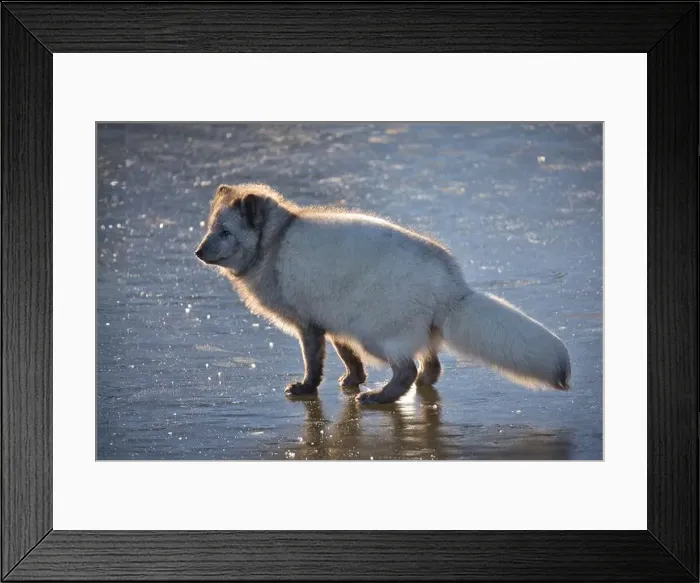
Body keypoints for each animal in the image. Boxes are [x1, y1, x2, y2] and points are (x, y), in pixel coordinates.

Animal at [195, 183, 571, 405]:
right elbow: (347, 356)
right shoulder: (332, 320)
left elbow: (314, 363)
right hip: (405, 329)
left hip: (377, 334)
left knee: (407, 370)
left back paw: (379, 397)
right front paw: (352, 380)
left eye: (225, 232)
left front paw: (307, 388)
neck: (273, 244)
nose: (198, 252)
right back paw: (415, 387)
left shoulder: (308, 324)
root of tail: (452, 284)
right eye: (210, 228)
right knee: (431, 363)